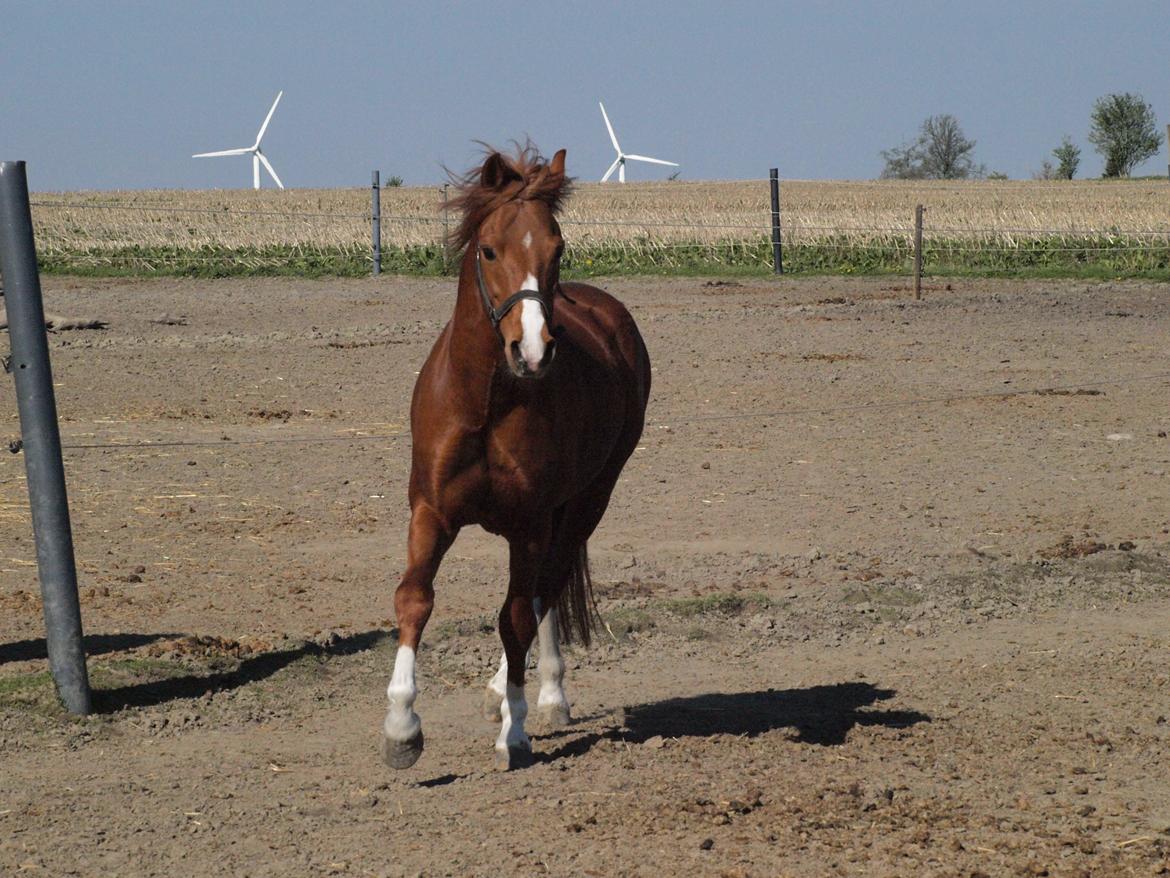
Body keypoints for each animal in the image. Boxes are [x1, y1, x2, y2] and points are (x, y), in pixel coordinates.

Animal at [381, 144, 650, 767]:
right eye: (489, 249)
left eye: (558, 247)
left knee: (543, 591)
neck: (484, 402)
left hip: (587, 502)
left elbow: (517, 616)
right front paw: (401, 727)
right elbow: (414, 599)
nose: (532, 350)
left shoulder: (529, 523)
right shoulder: (430, 512)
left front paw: (517, 728)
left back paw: (539, 697)